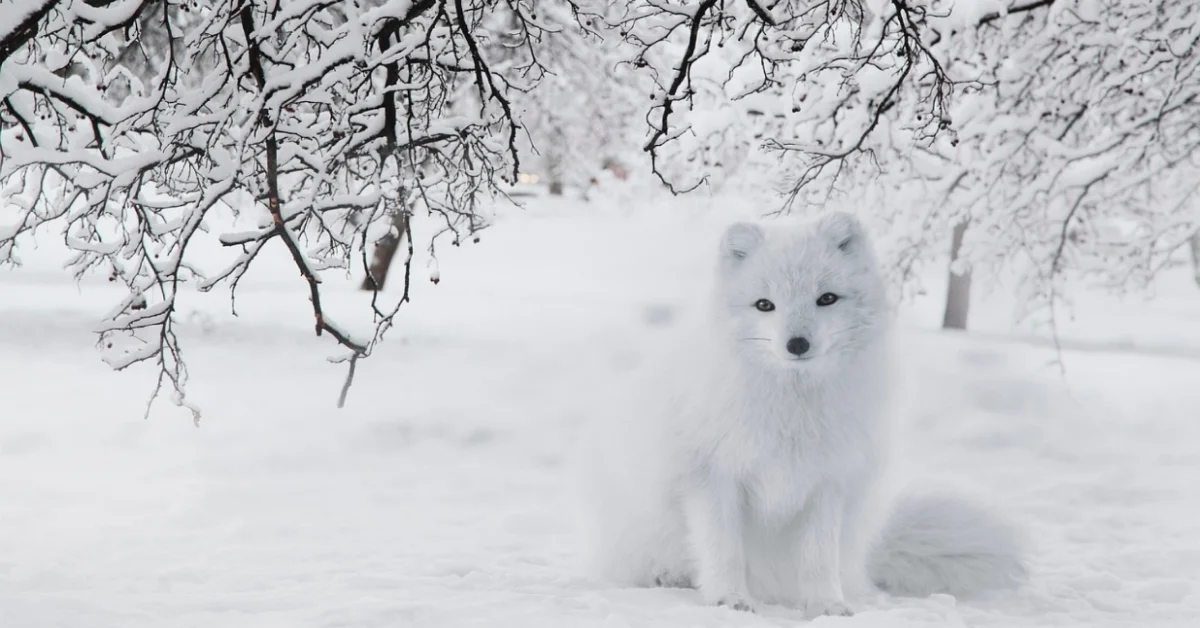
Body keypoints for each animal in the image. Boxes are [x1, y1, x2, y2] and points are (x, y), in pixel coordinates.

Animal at [576, 212, 1027, 617]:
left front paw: (827, 606)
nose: (797, 344)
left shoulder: (827, 483)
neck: (793, 407)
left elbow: (818, 558)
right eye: (765, 305)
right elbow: (724, 549)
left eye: (826, 298)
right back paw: (669, 576)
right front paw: (729, 600)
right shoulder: (712, 476)